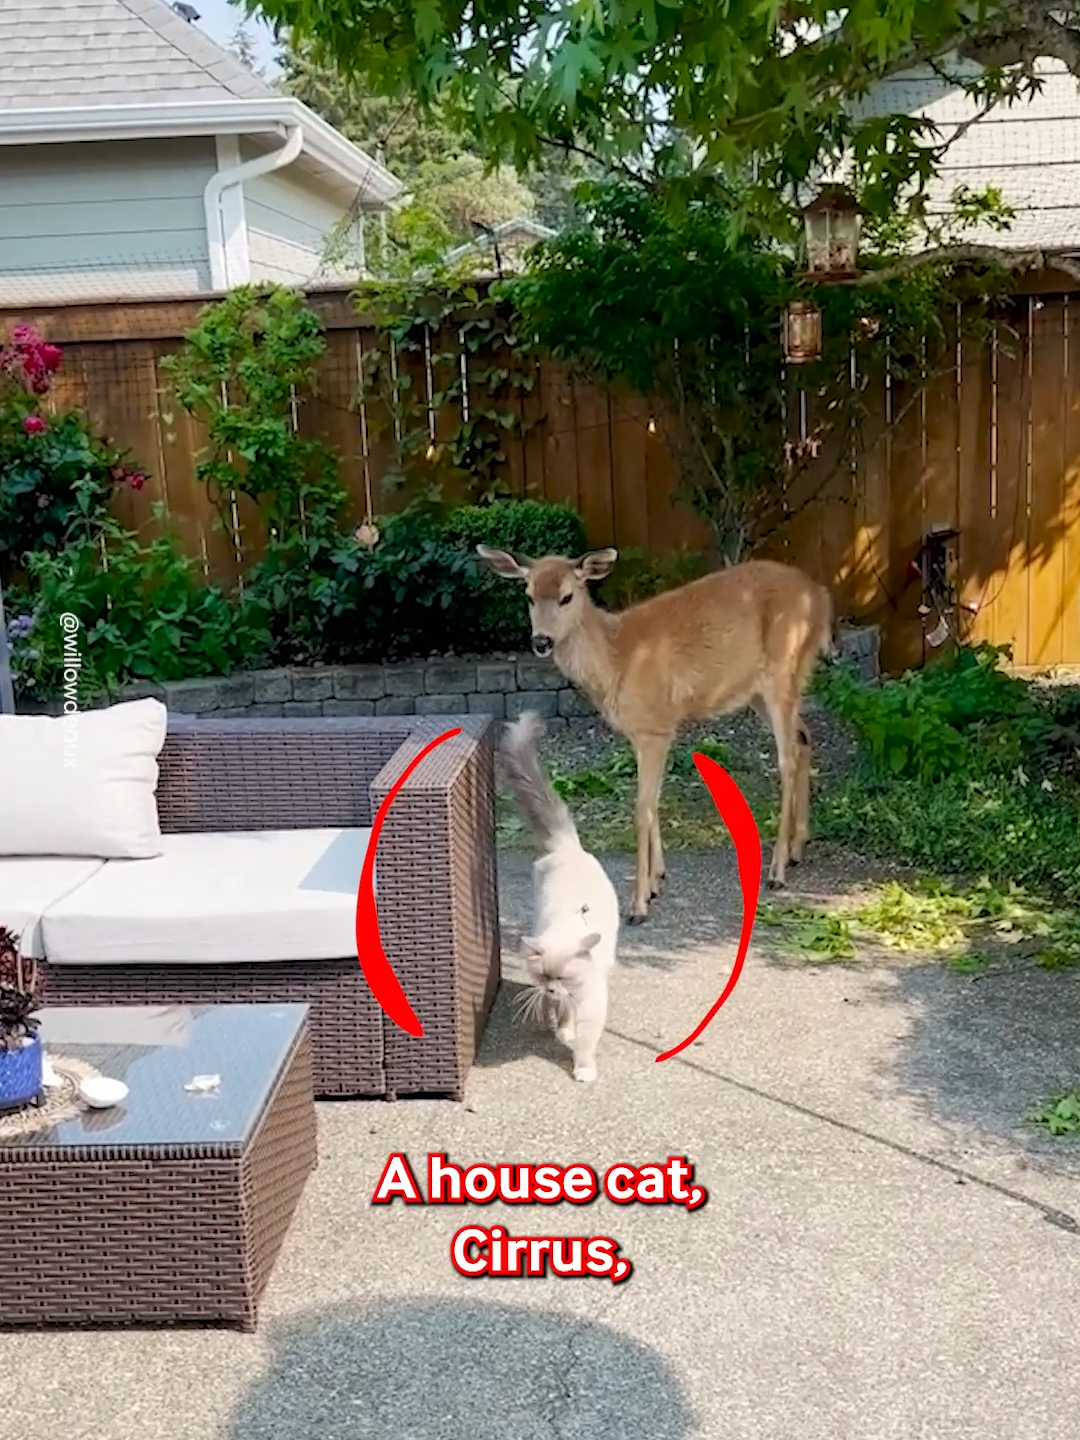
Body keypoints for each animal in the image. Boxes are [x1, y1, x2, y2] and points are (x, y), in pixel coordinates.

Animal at [480, 544, 835, 927]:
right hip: (763, 689)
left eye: (566, 596)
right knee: (803, 738)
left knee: (787, 758)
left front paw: (638, 904)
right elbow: (653, 802)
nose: (541, 641)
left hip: (782, 670)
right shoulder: (641, 732)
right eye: (529, 595)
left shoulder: (656, 728)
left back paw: (777, 870)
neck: (616, 659)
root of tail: (821, 597)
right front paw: (655, 882)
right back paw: (798, 848)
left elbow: (641, 809)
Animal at [504, 708, 622, 1082]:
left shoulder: (590, 1000)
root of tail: (569, 847)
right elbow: (561, 1013)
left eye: (564, 976)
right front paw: (562, 1029)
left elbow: (586, 1042)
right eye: (544, 977)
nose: (553, 988)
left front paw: (583, 1071)